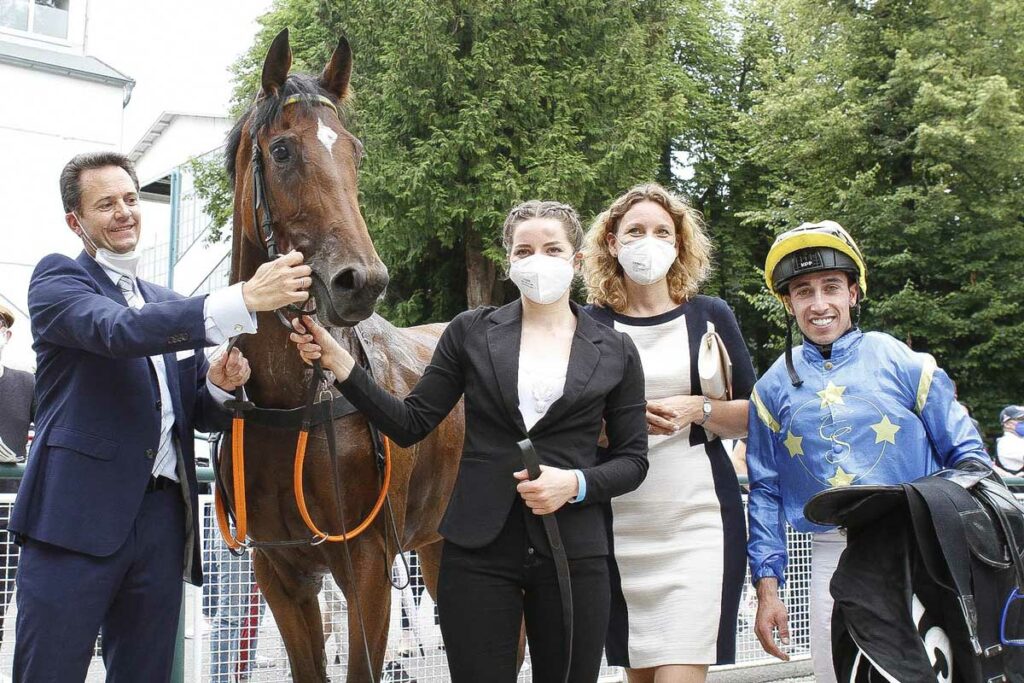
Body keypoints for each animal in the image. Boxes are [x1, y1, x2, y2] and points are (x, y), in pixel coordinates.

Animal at [223, 29, 464, 679]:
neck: (294, 407)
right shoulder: (280, 572)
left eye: (354, 152)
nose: (363, 281)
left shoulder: (367, 568)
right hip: (439, 546)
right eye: (282, 150)